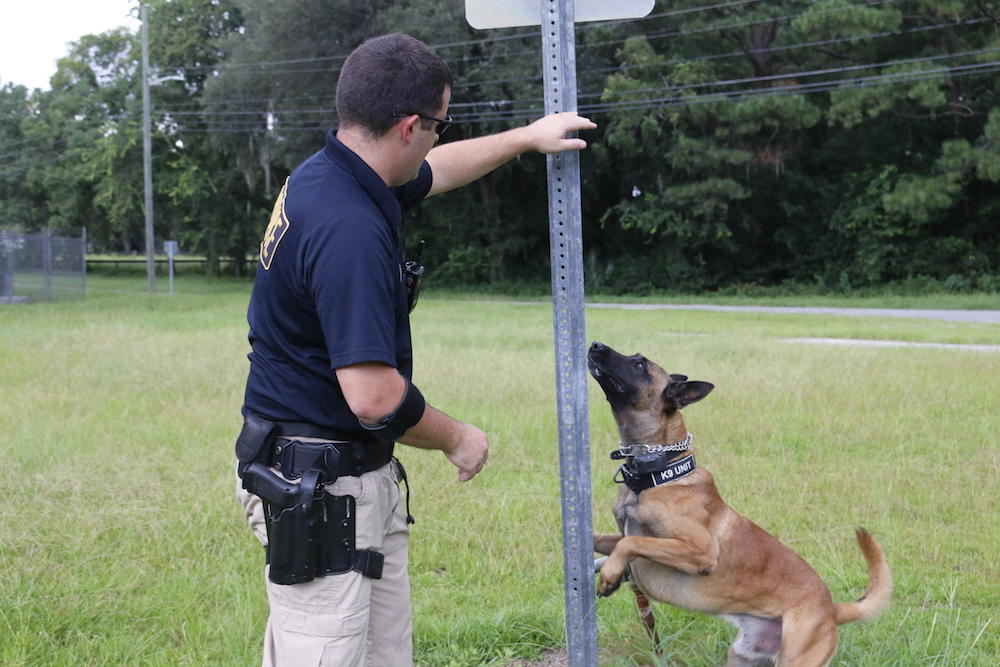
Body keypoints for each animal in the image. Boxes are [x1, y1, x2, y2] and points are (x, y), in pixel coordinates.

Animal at [584, 342, 892, 664]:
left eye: (641, 364)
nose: (595, 345)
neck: (658, 474)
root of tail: (831, 609)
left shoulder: (700, 550)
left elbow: (631, 542)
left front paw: (610, 573)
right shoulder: (623, 532)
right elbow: (610, 539)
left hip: (796, 658)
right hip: (742, 657)